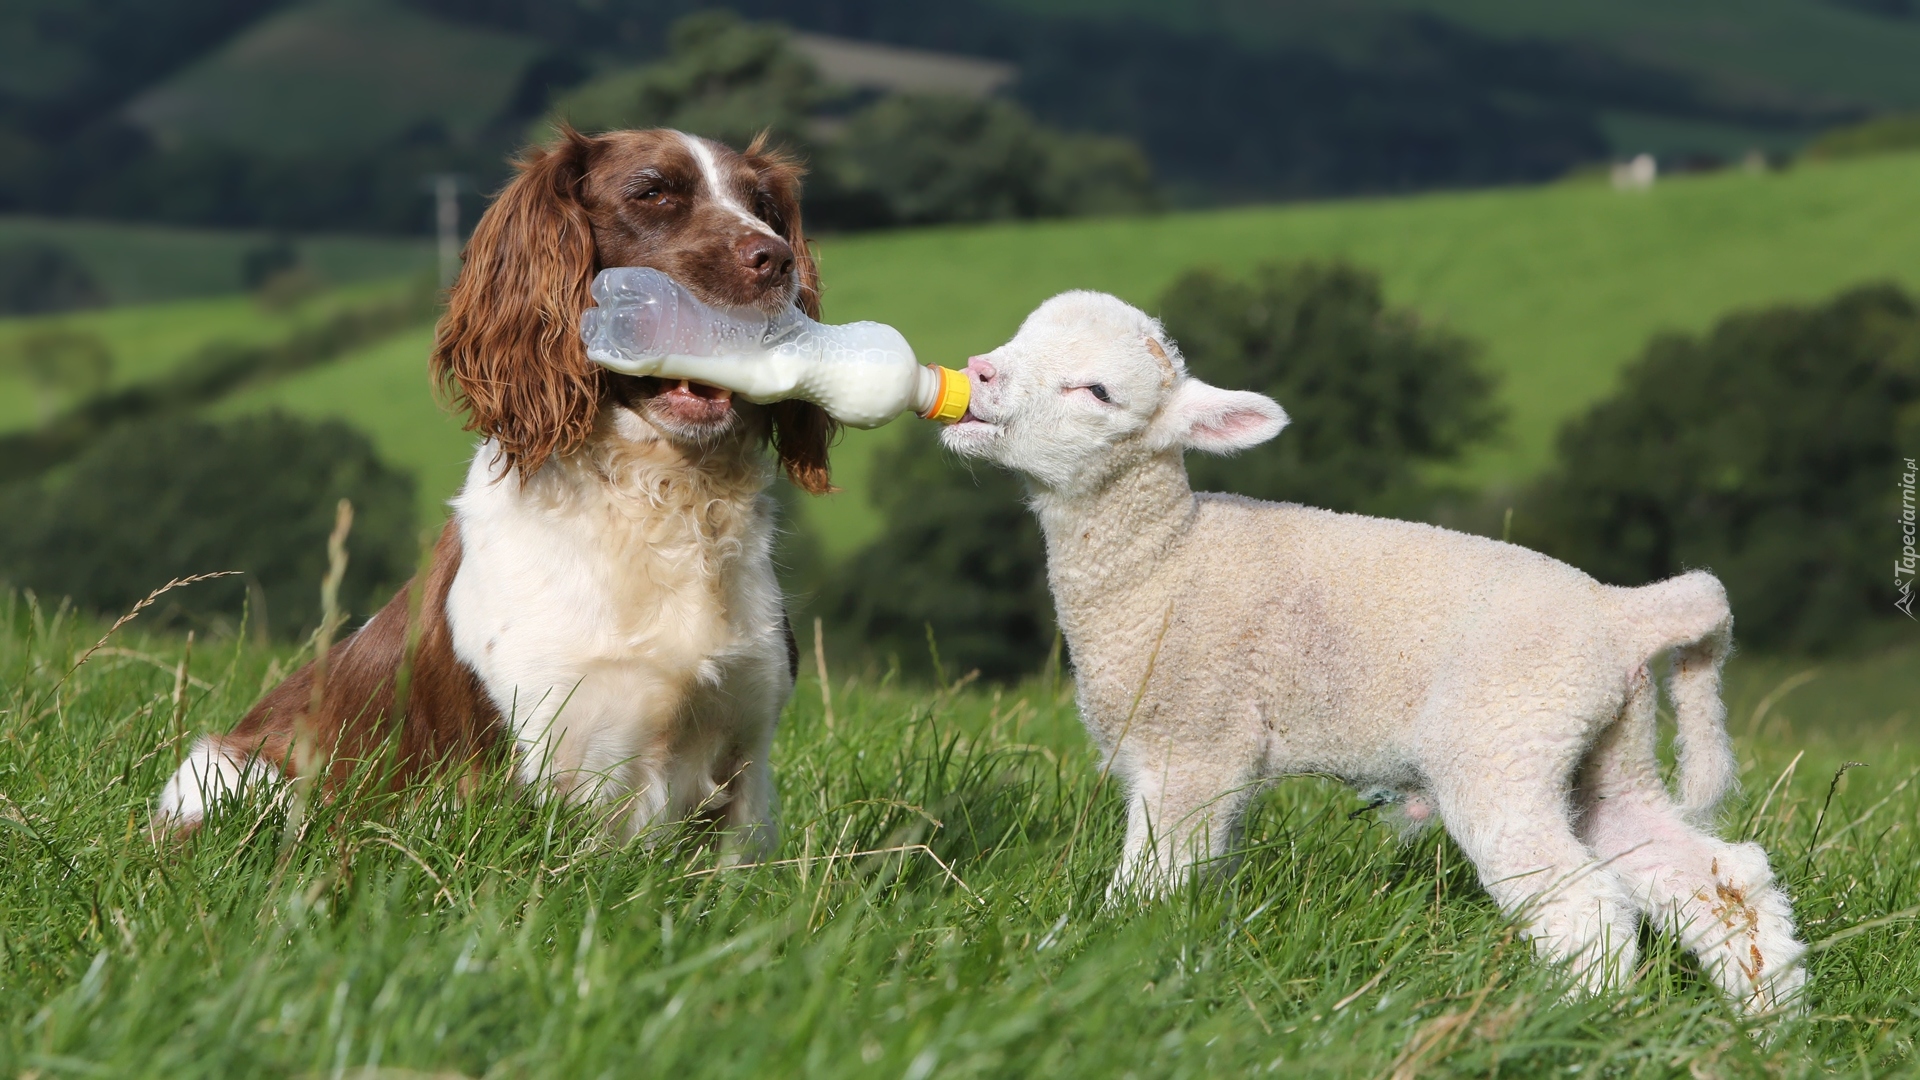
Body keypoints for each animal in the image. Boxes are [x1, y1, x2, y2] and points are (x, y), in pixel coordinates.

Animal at [155, 127, 833, 849]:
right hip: (237, 777)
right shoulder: (536, 765)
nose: (775, 259)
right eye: (652, 193)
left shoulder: (746, 757)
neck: (658, 498)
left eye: (764, 206)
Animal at [952, 288, 1804, 1006]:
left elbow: (1153, 880)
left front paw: (1109, 957)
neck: (1165, 561)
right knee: (1718, 877)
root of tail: (1623, 612)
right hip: (1608, 751)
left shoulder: (1193, 745)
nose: (979, 371)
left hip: (1504, 744)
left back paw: (1574, 1019)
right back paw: (1768, 1019)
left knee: (1586, 904)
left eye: (1096, 392)